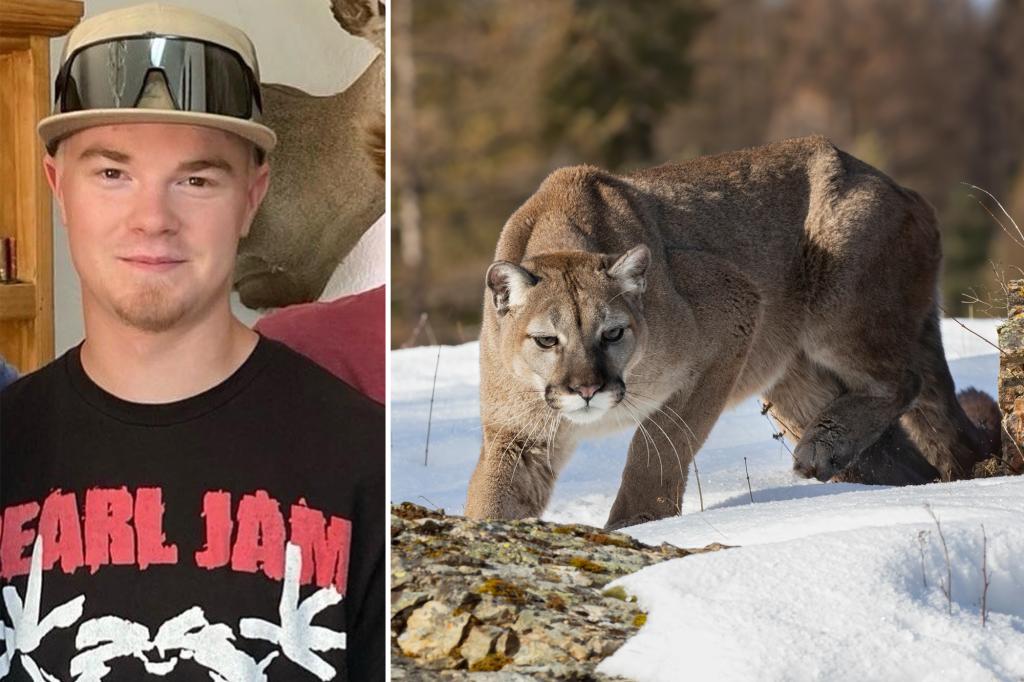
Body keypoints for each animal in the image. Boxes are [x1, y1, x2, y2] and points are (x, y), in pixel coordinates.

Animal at [465, 135, 997, 530]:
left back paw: (824, 446)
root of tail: (896, 186)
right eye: (546, 341)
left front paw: (636, 524)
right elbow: (493, 497)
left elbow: (658, 446)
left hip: (840, 301)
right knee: (914, 460)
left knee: (903, 380)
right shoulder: (517, 434)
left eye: (612, 334)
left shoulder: (732, 313)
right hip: (795, 384)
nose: (587, 390)